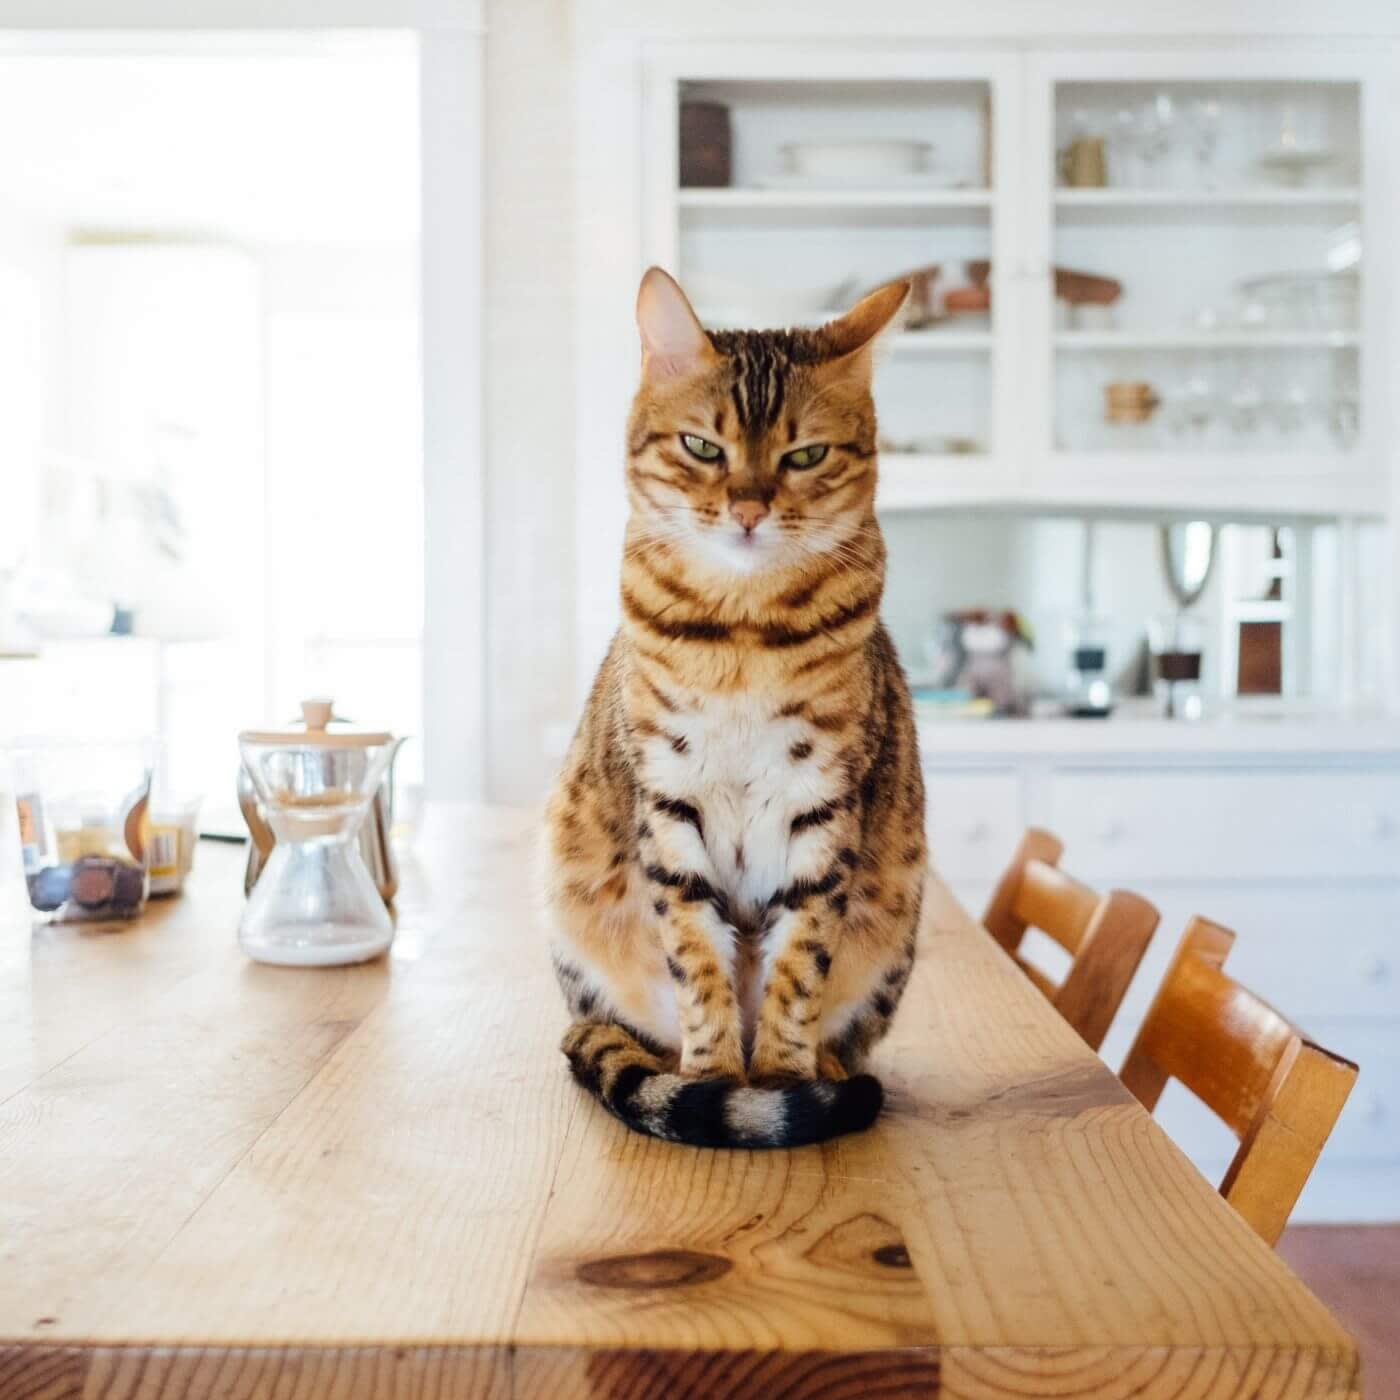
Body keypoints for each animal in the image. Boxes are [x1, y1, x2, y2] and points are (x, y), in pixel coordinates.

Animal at [543, 264, 929, 1148]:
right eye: (702, 447)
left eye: (806, 454)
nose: (749, 508)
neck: (744, 635)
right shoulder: (668, 797)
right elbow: (695, 958)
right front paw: (715, 1078)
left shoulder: (825, 804)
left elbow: (800, 963)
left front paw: (782, 1079)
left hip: (896, 926)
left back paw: (825, 1073)